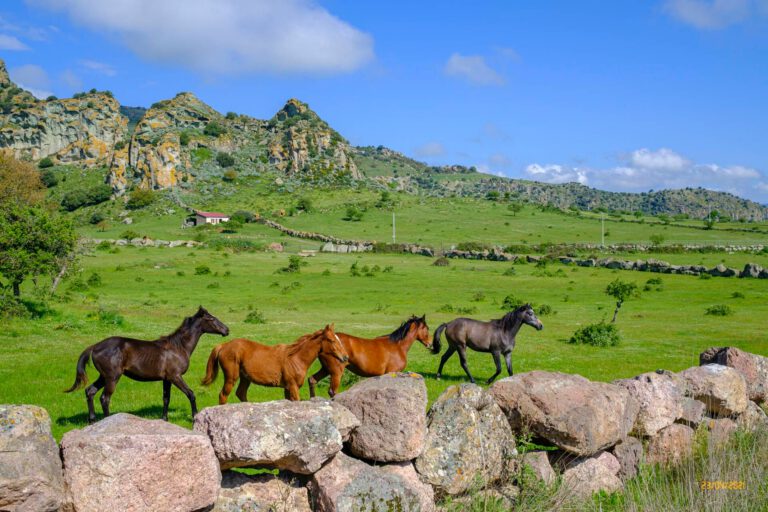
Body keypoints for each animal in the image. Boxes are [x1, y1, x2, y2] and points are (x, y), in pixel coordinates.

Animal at [65, 306, 229, 423]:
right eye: (211, 318)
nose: (227, 330)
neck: (178, 347)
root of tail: (94, 346)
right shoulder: (176, 377)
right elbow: (191, 394)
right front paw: (195, 416)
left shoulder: (167, 379)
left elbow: (166, 398)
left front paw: (164, 419)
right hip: (112, 377)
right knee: (104, 398)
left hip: (103, 377)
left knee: (90, 391)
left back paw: (92, 421)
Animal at [201, 324, 348, 402]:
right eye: (332, 340)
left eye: (338, 339)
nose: (345, 357)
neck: (296, 358)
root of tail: (223, 345)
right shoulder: (293, 386)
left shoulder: (287, 388)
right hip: (232, 377)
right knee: (223, 395)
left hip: (245, 378)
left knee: (240, 393)